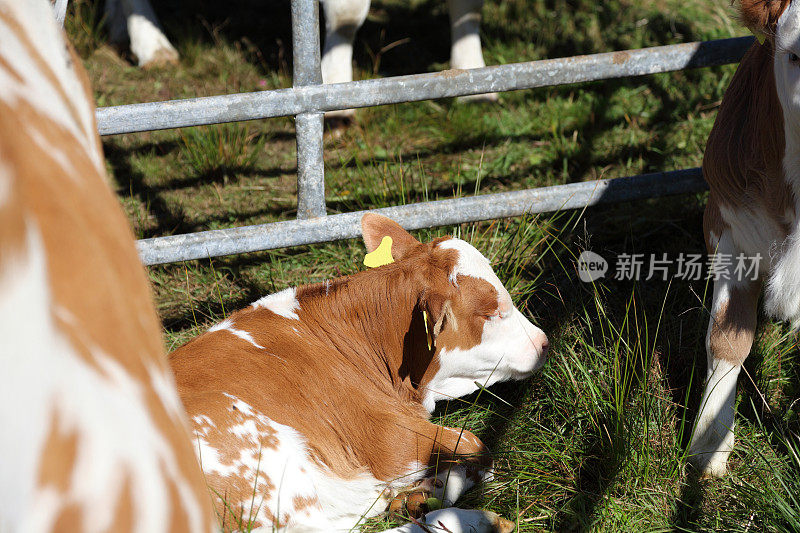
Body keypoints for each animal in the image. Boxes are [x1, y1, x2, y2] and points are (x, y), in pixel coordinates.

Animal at [173, 211, 552, 528]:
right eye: (491, 311)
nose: (544, 341)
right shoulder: (389, 440)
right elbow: (476, 445)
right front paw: (424, 492)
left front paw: (420, 493)